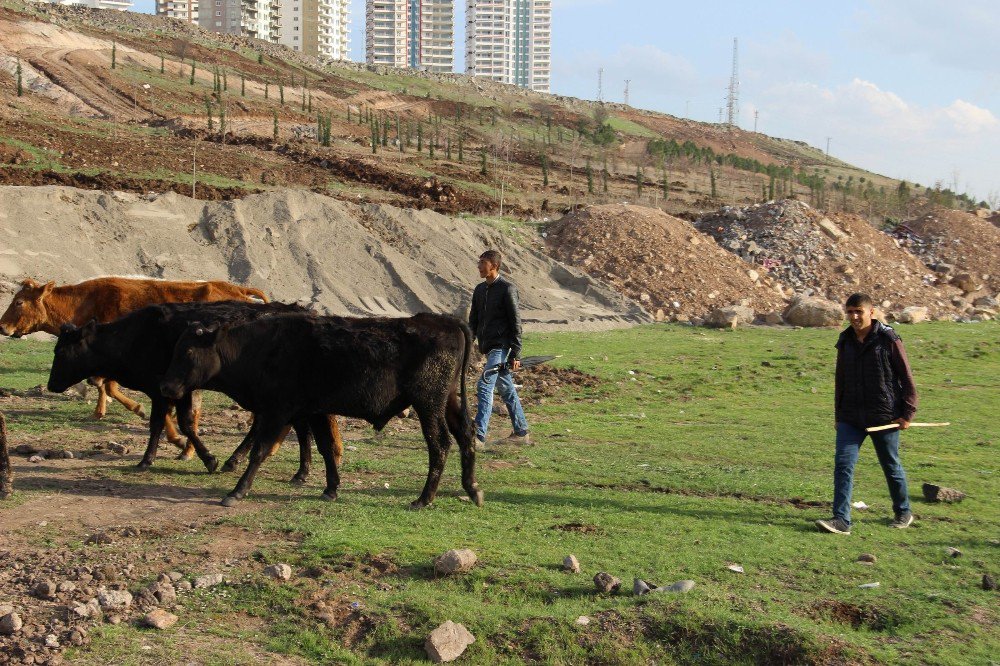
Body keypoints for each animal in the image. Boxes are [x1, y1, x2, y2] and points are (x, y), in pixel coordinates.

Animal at [0, 274, 268, 446]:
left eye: (19, 302)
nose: (2, 326)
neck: (87, 302)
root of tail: (240, 291)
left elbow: (107, 385)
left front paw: (139, 410)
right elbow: (102, 384)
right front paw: (101, 411)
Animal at [46, 298, 344, 480]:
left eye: (61, 351)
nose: (51, 385)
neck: (135, 337)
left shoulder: (167, 389)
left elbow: (179, 423)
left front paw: (205, 459)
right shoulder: (167, 390)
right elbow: (164, 423)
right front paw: (157, 457)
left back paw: (240, 461)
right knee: (298, 426)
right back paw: (296, 470)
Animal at [160, 312, 480, 508]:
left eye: (188, 351)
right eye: (175, 348)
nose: (166, 386)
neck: (260, 348)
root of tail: (446, 321)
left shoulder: (277, 412)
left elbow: (259, 451)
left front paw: (237, 491)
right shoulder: (314, 411)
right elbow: (326, 447)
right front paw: (331, 488)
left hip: (429, 404)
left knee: (440, 444)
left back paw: (424, 498)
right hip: (448, 401)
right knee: (466, 436)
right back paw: (472, 488)